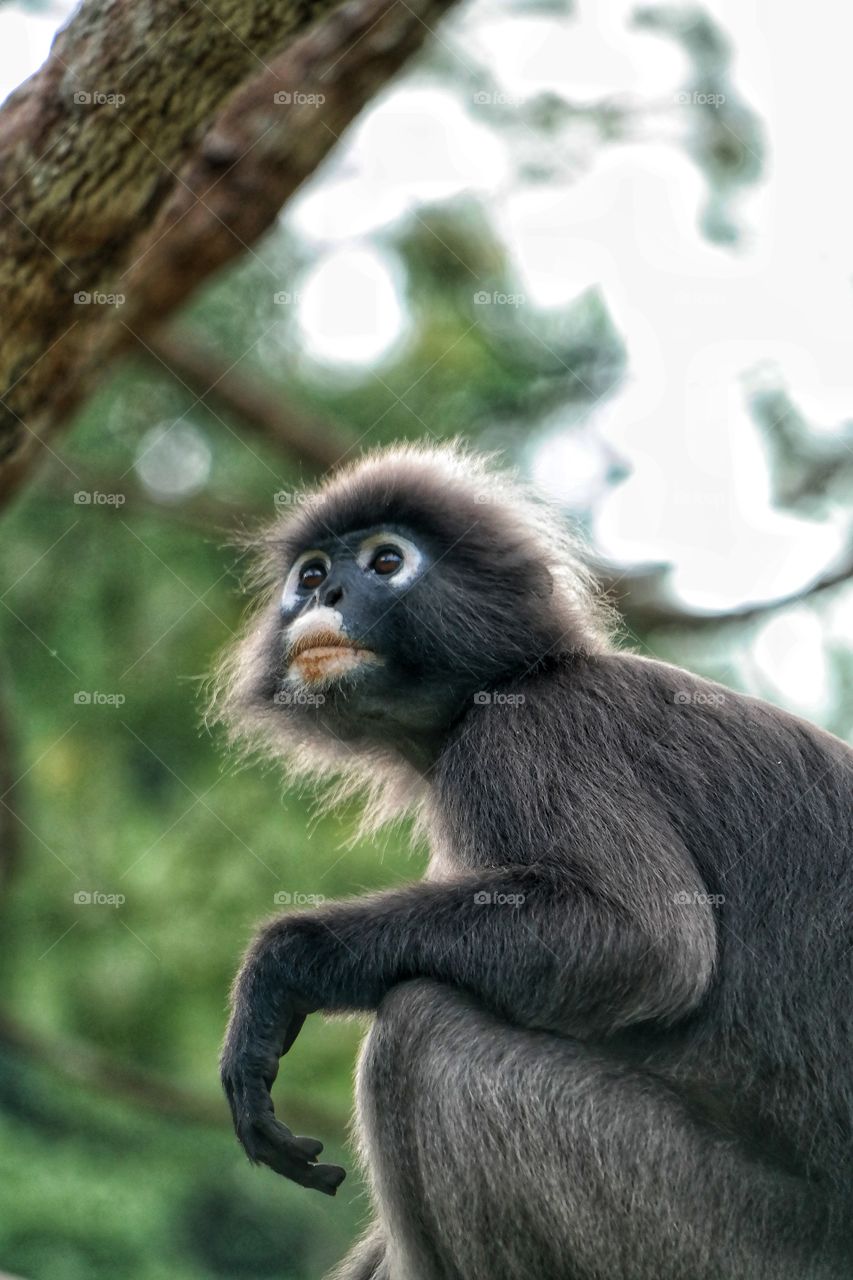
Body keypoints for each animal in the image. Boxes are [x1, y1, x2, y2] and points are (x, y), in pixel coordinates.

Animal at [214, 443, 853, 1280]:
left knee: (418, 1033)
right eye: (311, 574)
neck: (513, 678)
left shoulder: (528, 735)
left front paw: (281, 967)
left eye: (386, 561)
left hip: (727, 1238)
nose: (330, 592)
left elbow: (651, 943)